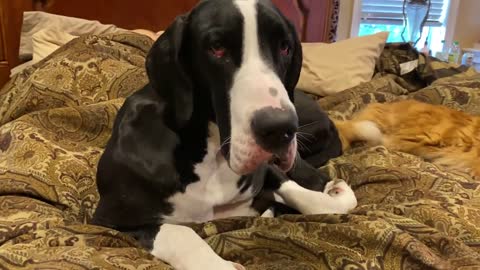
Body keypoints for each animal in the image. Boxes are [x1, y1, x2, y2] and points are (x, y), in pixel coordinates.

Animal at [94, 1, 356, 268]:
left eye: (285, 47)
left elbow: (313, 198)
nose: (281, 129)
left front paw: (334, 195)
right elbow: (179, 232)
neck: (209, 154)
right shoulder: (110, 220)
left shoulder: (270, 170)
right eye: (217, 48)